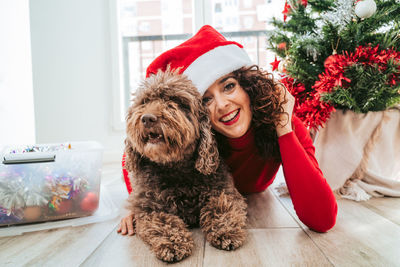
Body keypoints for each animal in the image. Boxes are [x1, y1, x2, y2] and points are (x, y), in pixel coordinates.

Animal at [124, 69, 247, 264]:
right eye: (144, 102)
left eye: (176, 101)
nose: (147, 118)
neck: (175, 168)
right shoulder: (147, 208)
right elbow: (163, 221)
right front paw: (173, 243)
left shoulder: (224, 191)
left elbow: (221, 206)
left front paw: (226, 230)